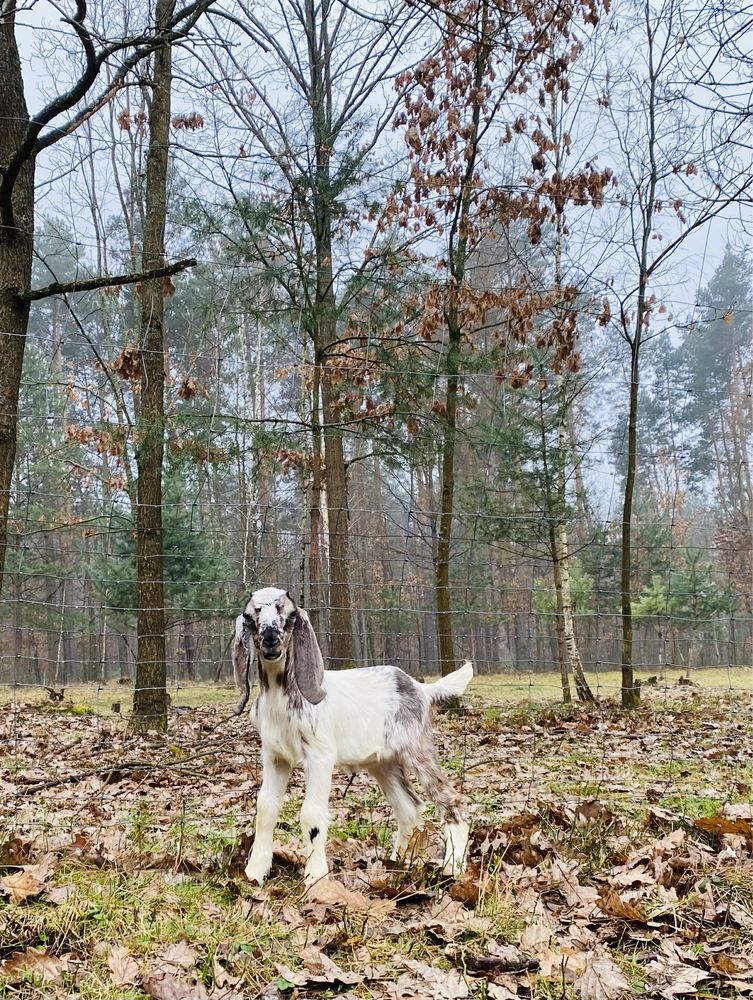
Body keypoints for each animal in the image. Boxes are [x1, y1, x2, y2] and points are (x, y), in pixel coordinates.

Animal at [232, 584, 472, 884]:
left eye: (289, 615)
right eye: (250, 617)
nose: (270, 639)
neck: (282, 695)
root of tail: (422, 689)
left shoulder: (320, 755)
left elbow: (311, 814)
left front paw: (314, 877)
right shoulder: (275, 755)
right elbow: (265, 807)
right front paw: (254, 872)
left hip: (418, 749)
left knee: (449, 801)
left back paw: (454, 867)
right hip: (384, 763)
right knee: (409, 808)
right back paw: (396, 863)